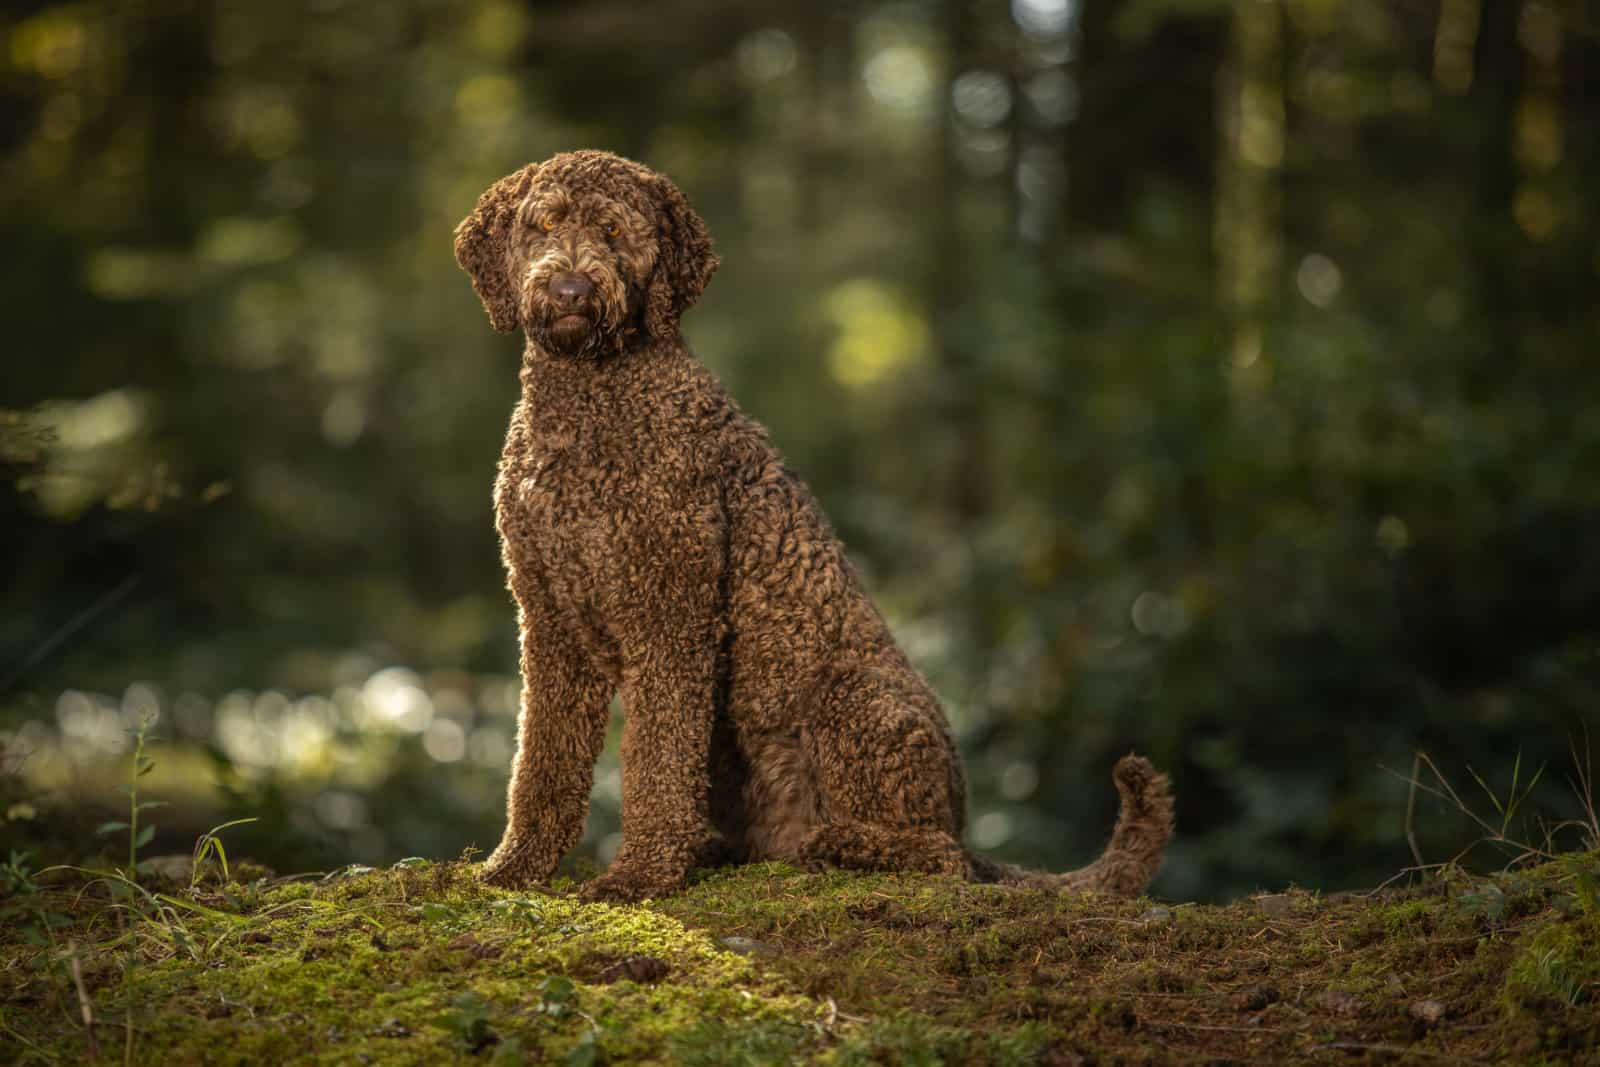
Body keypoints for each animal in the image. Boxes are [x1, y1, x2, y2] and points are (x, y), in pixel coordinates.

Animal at [454, 150, 1177, 902]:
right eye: (543, 224)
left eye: (614, 230)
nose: (569, 289)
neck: (589, 402)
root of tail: (964, 821)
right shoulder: (549, 619)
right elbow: (542, 762)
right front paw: (514, 867)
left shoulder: (671, 616)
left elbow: (656, 764)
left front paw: (638, 875)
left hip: (847, 700)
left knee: (937, 856)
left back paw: (835, 843)